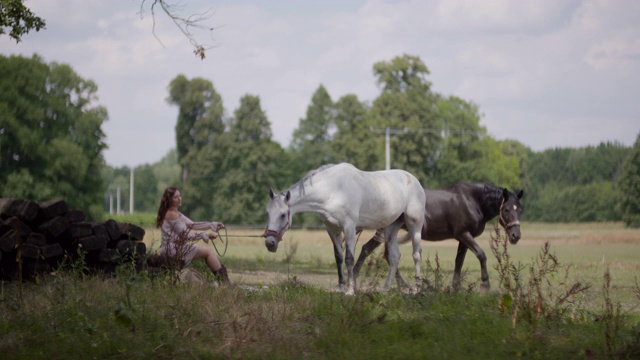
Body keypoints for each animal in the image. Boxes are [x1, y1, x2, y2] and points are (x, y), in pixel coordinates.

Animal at [260, 163, 424, 296]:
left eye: (282, 215)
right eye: (267, 213)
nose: (269, 243)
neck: (333, 189)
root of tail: (414, 180)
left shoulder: (349, 227)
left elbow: (349, 258)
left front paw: (350, 291)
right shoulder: (332, 229)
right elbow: (338, 257)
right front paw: (340, 287)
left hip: (414, 225)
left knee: (416, 255)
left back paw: (417, 289)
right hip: (391, 228)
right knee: (394, 257)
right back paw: (385, 290)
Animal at [352, 183, 524, 290]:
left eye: (520, 209)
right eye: (507, 209)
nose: (516, 235)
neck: (472, 201)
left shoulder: (463, 238)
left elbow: (459, 261)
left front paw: (455, 287)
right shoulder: (463, 234)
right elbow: (481, 254)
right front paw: (485, 284)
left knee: (375, 252)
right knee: (374, 251)